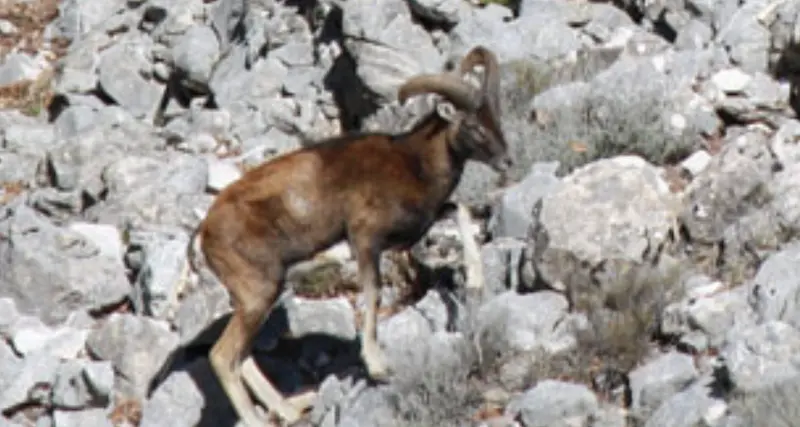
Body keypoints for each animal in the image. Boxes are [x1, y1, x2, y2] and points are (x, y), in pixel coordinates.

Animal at [186, 45, 506, 426]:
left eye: (494, 117)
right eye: (471, 124)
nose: (506, 160)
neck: (413, 162)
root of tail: (204, 234)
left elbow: (460, 210)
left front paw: (475, 282)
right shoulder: (366, 239)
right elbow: (374, 294)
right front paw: (378, 367)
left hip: (260, 297)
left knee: (242, 355)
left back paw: (289, 408)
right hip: (257, 294)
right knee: (223, 357)